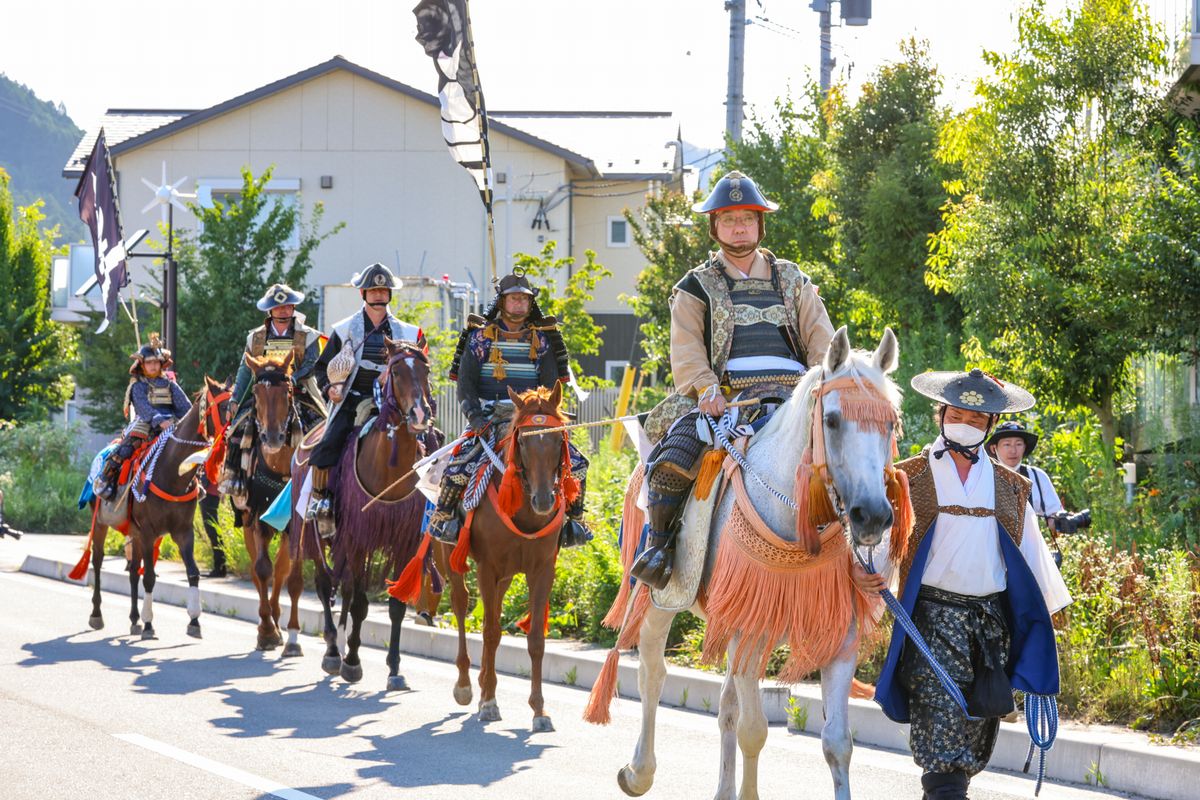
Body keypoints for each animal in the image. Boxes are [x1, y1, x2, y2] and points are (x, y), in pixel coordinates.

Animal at [84, 379, 234, 642]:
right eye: (225, 406)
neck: (172, 472)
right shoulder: (148, 532)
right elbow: (150, 577)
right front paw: (148, 624)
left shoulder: (183, 531)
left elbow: (192, 572)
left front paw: (194, 621)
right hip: (101, 522)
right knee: (98, 561)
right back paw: (97, 615)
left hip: (132, 532)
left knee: (133, 571)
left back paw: (134, 619)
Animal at [289, 338, 432, 690]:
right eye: (397, 371)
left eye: (426, 370)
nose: (420, 414)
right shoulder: (357, 538)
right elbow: (359, 602)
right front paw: (352, 662)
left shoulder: (404, 542)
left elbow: (395, 605)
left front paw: (394, 670)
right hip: (315, 534)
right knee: (325, 584)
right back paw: (332, 651)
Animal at [595, 326, 902, 800]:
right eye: (832, 420)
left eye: (889, 423)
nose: (871, 516)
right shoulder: (745, 630)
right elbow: (754, 728)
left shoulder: (837, 636)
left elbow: (837, 744)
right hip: (661, 595)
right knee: (652, 673)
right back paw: (639, 771)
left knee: (725, 707)